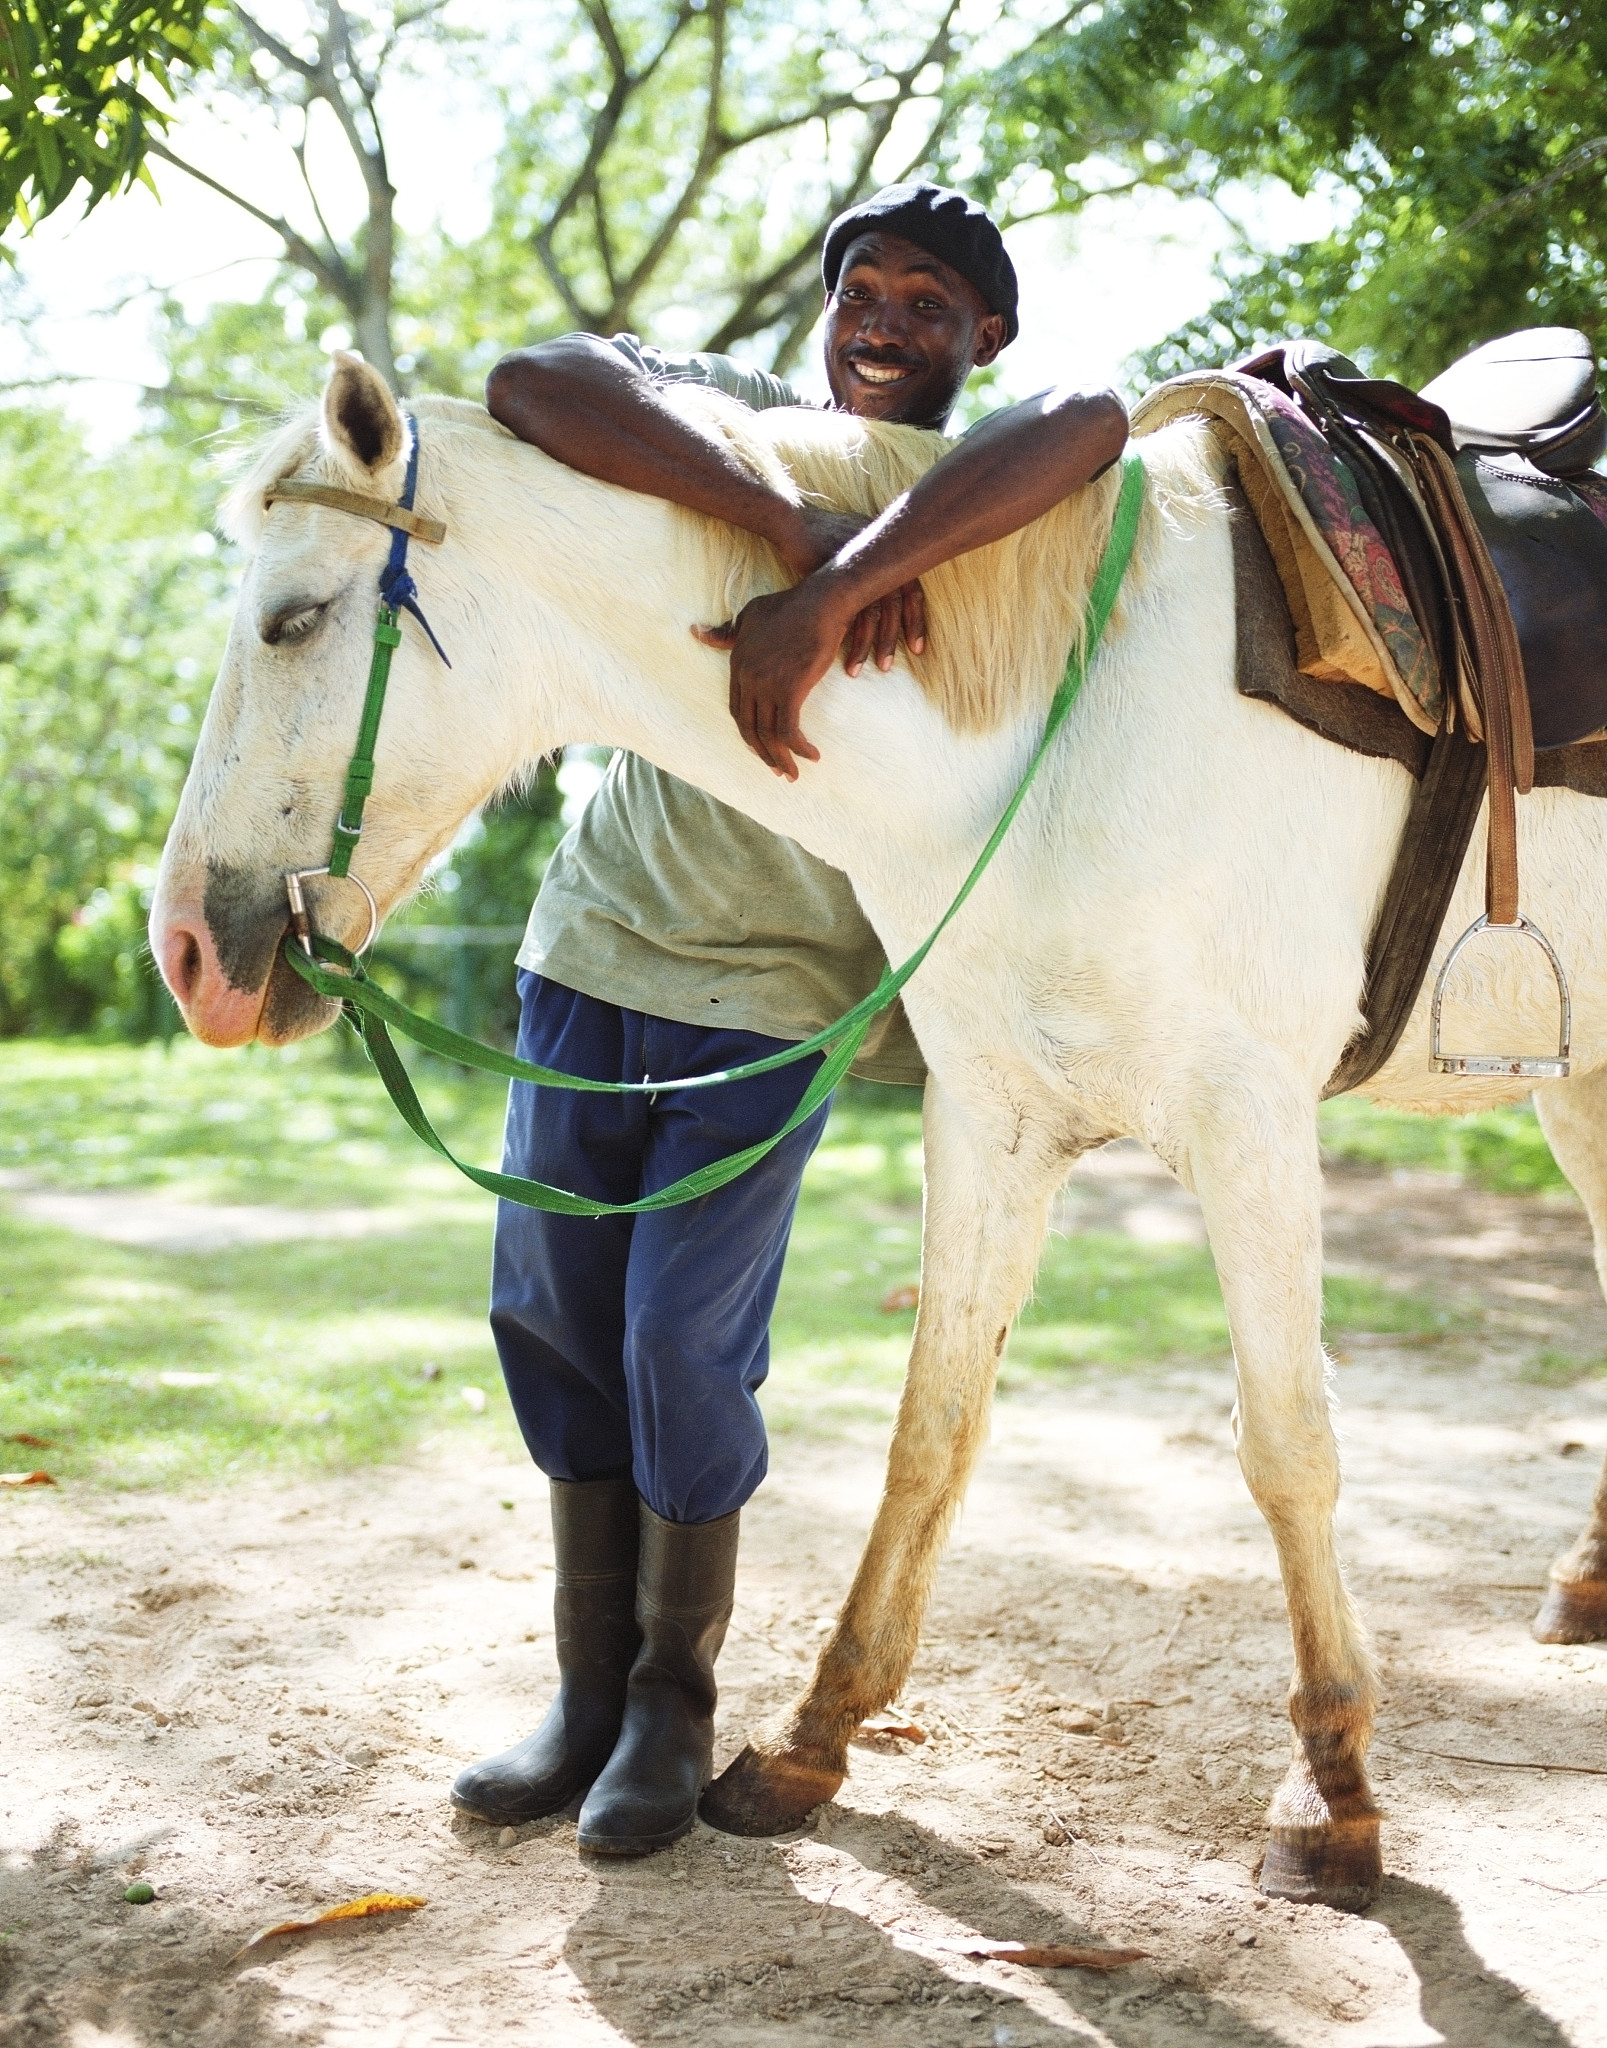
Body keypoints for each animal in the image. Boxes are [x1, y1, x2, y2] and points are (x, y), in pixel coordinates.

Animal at [151, 353, 1607, 1911]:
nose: (184, 950)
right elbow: (933, 1427)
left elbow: (1285, 1446)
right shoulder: (992, 1115)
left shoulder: (1247, 1122)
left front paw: (1329, 1788)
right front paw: (809, 1739)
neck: (1058, 734)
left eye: (291, 619)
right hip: (1575, 1081)